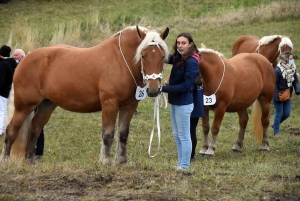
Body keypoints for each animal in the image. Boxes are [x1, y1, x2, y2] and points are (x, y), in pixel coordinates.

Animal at [0, 25, 169, 165]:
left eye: (162, 56)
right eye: (143, 55)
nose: (153, 89)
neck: (121, 61)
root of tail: (24, 60)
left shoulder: (129, 106)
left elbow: (123, 134)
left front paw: (121, 162)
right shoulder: (110, 104)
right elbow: (108, 134)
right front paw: (105, 161)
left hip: (46, 104)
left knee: (35, 129)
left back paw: (30, 160)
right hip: (24, 106)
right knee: (11, 130)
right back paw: (6, 161)